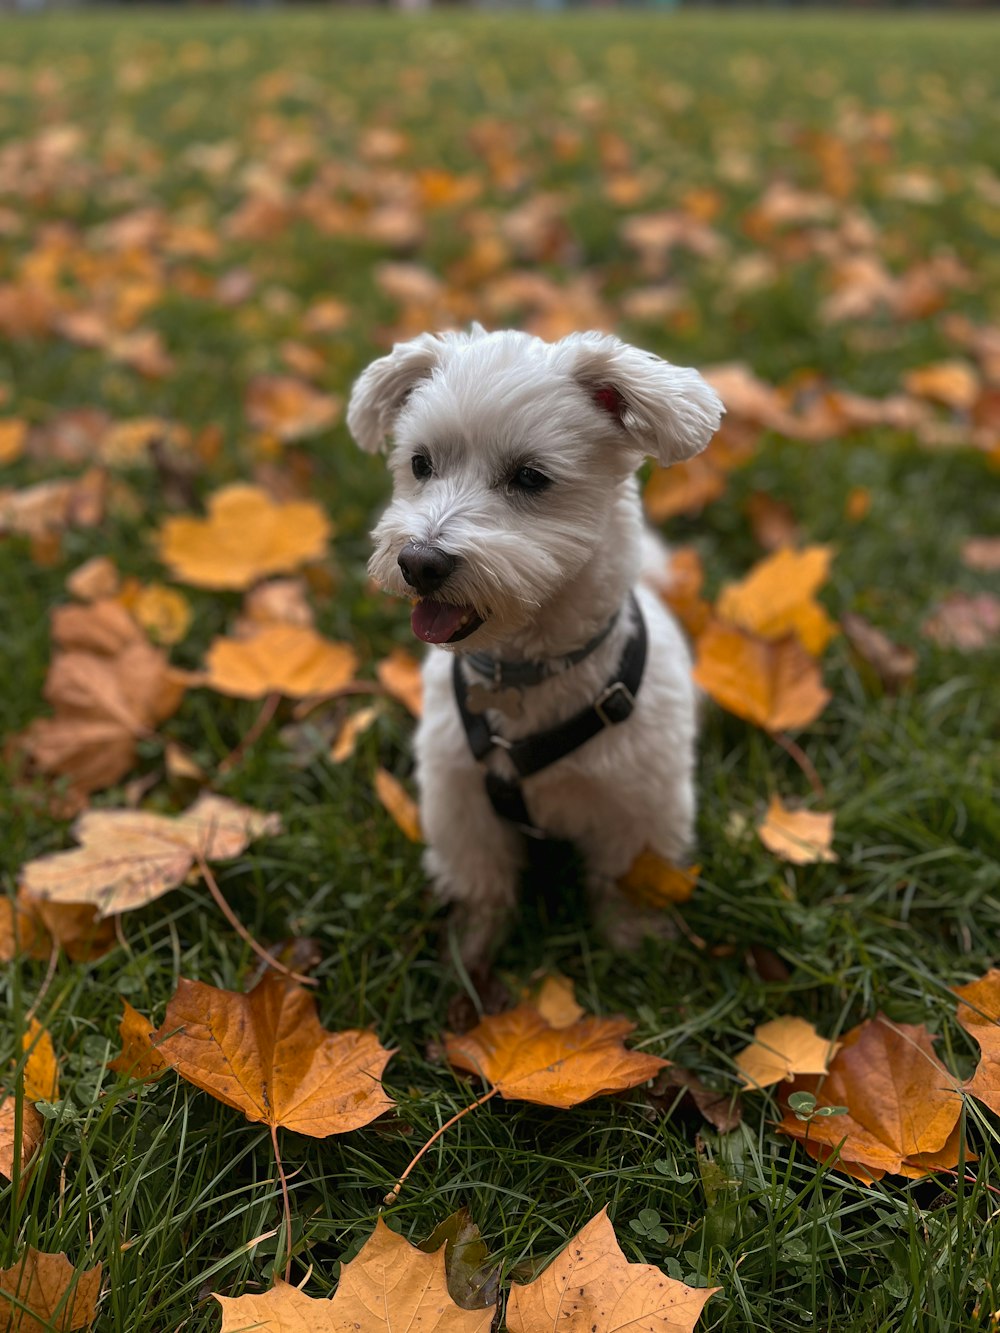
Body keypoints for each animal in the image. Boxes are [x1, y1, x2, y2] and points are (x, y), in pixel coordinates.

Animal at [349, 322, 725, 970]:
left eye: (529, 477)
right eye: (420, 464)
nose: (419, 562)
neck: (524, 673)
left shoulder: (642, 805)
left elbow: (631, 884)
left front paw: (635, 947)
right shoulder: (460, 802)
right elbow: (480, 884)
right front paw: (471, 951)